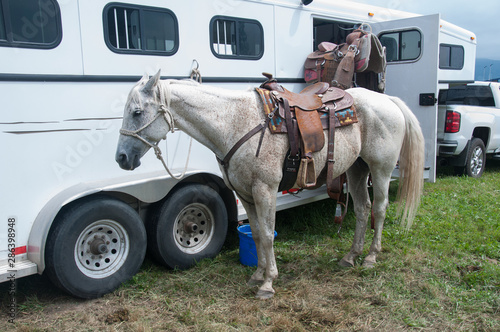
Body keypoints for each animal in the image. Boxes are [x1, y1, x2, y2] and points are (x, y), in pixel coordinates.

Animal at [115, 71, 424, 300]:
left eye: (137, 112)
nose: (121, 158)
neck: (234, 124)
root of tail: (388, 100)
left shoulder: (265, 190)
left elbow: (266, 234)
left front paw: (268, 283)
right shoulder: (244, 194)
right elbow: (256, 233)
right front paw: (257, 275)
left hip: (380, 168)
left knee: (380, 209)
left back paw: (371, 257)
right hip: (357, 169)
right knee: (362, 209)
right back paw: (350, 256)